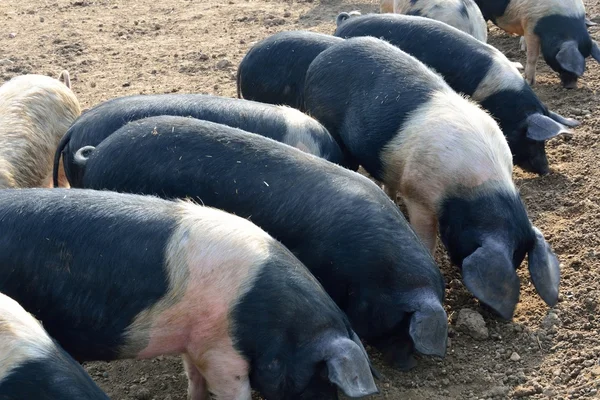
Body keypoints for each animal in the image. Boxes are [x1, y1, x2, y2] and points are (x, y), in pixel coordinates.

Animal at [304, 36, 564, 320]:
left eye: (519, 261)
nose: (490, 314)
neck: (469, 189)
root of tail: (321, 59)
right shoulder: (418, 194)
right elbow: (426, 236)